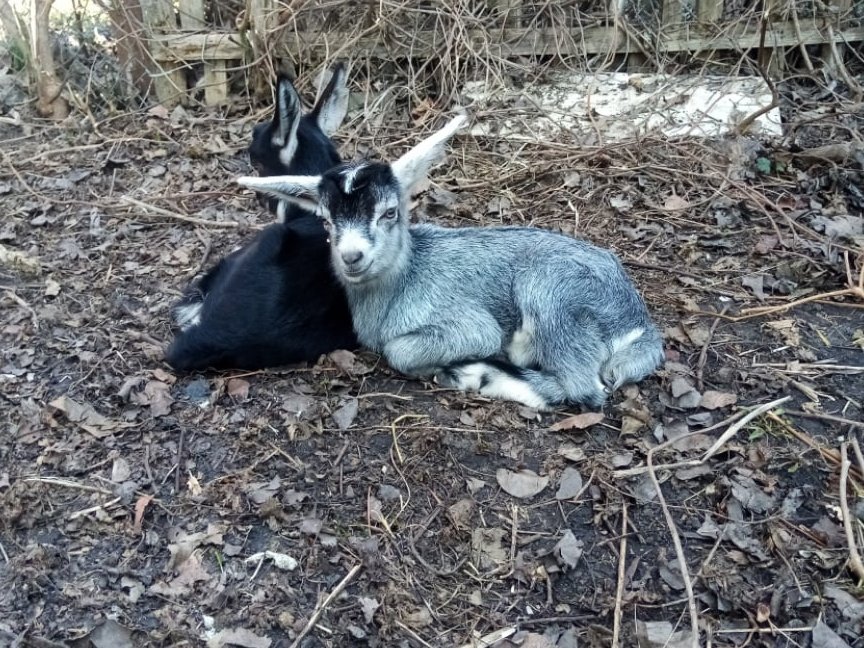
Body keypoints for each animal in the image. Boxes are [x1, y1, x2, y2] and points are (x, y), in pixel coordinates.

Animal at [238, 116, 664, 410]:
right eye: (326, 222)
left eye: (389, 212)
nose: (352, 257)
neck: (405, 280)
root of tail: (639, 325)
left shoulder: (472, 325)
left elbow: (400, 351)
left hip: (551, 293)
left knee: (585, 388)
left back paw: (474, 374)